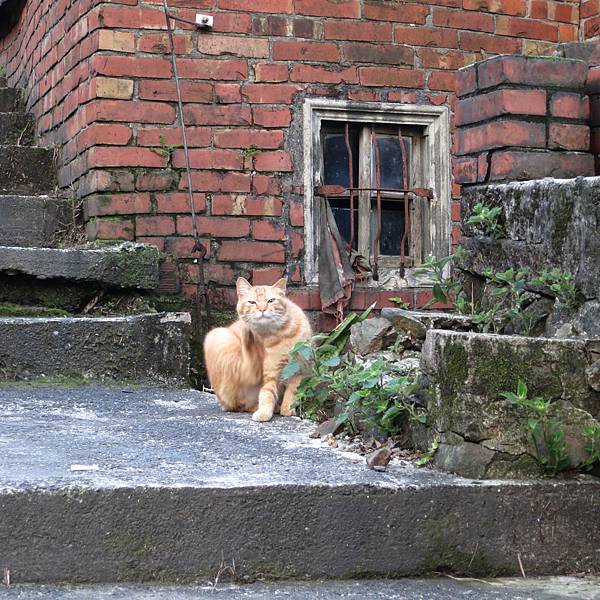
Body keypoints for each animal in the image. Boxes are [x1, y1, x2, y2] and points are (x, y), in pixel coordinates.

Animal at [203, 276, 312, 422]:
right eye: (252, 302)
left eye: (271, 300)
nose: (262, 309)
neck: (282, 334)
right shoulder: (271, 373)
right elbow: (267, 394)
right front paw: (264, 413)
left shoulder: (301, 369)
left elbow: (293, 391)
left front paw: (288, 409)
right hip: (220, 337)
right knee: (241, 403)